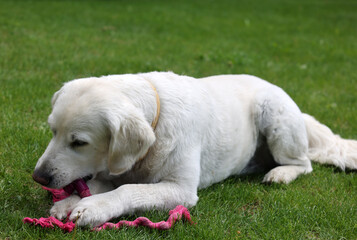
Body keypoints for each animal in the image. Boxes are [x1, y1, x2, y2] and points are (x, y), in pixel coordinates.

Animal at [32, 71, 354, 227]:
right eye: (53, 131)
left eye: (79, 142)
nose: (39, 177)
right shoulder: (114, 168)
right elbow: (100, 184)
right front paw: (70, 201)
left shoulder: (181, 189)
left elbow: (127, 190)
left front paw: (93, 208)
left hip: (275, 115)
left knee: (303, 164)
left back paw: (280, 174)